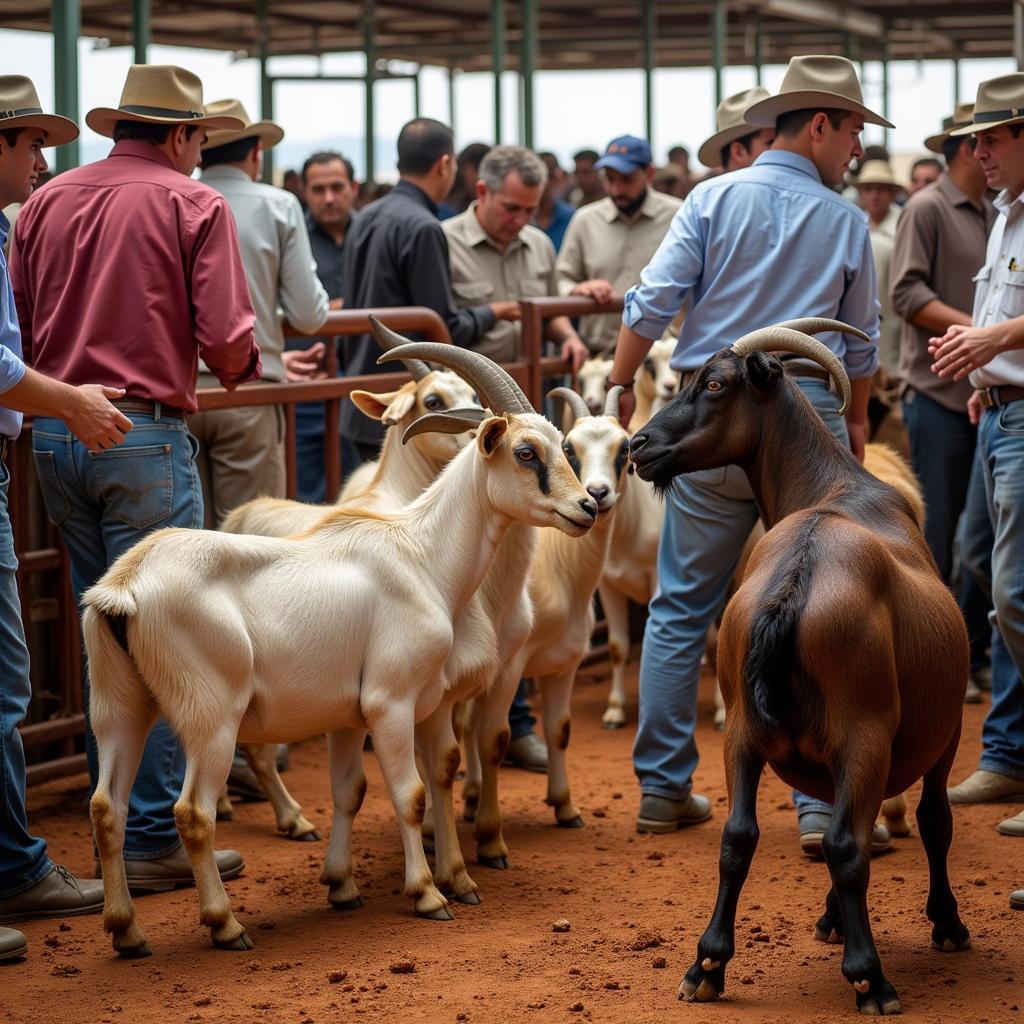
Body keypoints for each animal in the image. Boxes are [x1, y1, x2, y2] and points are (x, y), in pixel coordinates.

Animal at [88, 329, 598, 958]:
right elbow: (410, 793)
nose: (588, 507)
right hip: (212, 718)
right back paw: (226, 924)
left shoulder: (391, 710)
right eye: (526, 453)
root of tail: (126, 587)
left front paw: (372, 885)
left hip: (121, 709)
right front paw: (428, 895)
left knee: (107, 807)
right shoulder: (390, 703)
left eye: (563, 445)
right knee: (194, 813)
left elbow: (378, 785)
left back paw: (127, 932)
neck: (420, 556)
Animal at [626, 319, 970, 1015]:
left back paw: (706, 966)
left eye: (713, 383)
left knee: (738, 837)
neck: (837, 487)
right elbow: (932, 821)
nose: (638, 445)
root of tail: (793, 584)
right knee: (846, 844)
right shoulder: (937, 737)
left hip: (742, 734)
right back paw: (871, 979)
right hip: (864, 732)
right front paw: (946, 924)